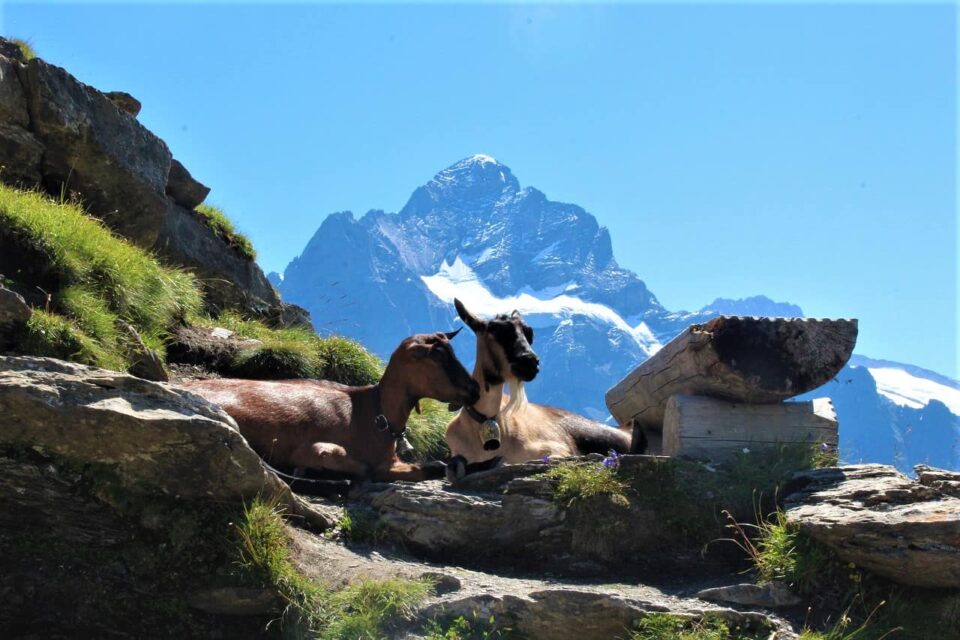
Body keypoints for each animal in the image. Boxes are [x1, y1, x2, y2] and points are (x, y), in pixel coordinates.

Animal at [183, 330, 480, 486]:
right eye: (437, 357)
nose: (475, 389)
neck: (374, 414)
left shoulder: (393, 460)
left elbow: (433, 465)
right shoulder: (314, 448)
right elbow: (359, 466)